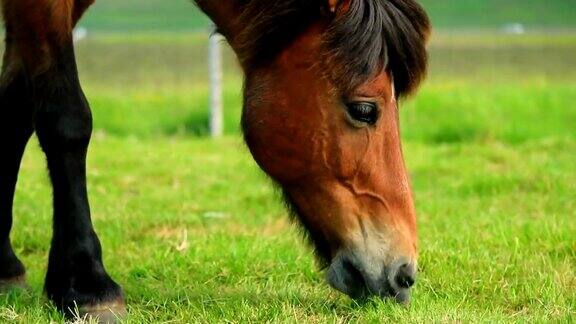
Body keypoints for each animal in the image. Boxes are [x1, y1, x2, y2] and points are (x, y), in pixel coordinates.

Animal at [0, 0, 430, 320]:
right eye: (364, 110)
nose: (404, 274)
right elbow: (67, 119)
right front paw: (87, 285)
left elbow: (15, 109)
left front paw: (5, 265)